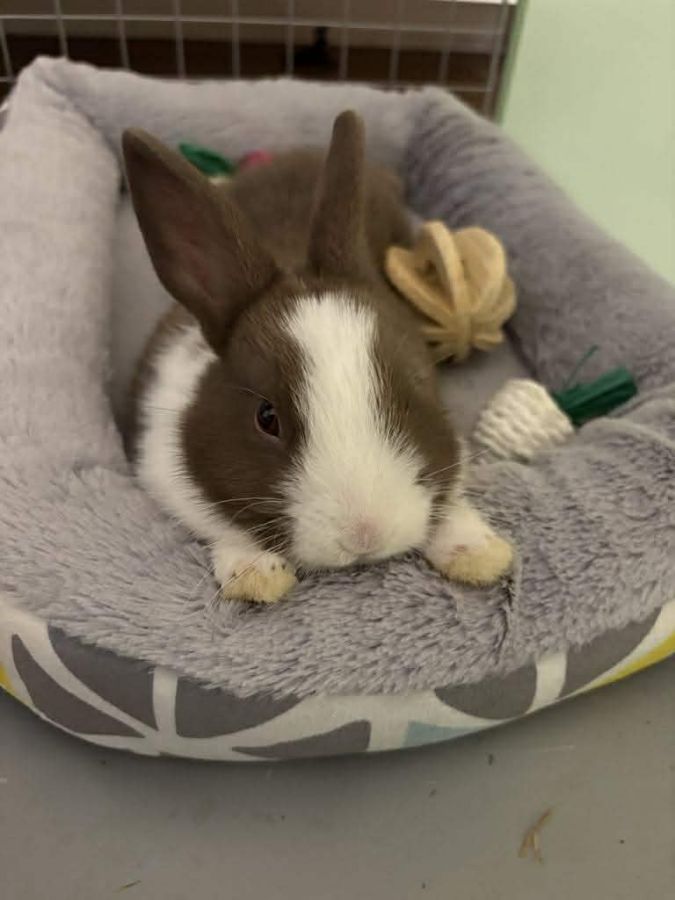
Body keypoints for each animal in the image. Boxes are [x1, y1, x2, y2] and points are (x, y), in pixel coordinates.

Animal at [122, 110, 514, 603]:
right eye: (266, 418)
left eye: (412, 393)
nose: (365, 535)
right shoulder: (162, 463)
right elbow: (220, 522)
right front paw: (257, 575)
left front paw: (479, 553)